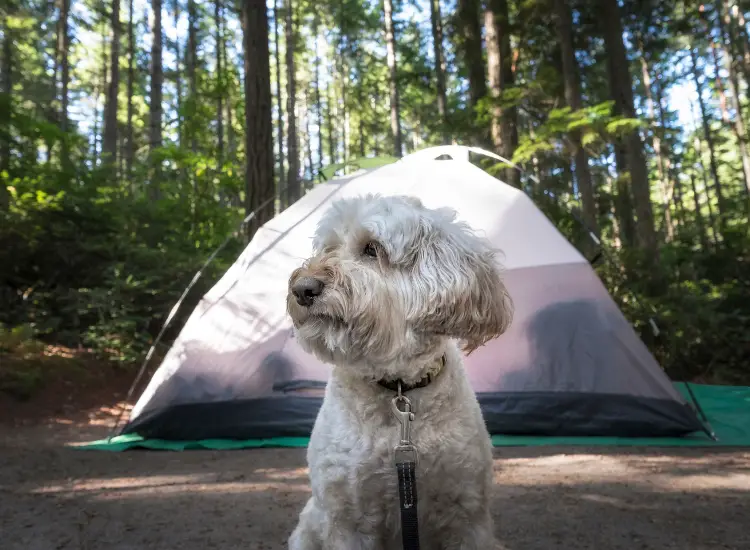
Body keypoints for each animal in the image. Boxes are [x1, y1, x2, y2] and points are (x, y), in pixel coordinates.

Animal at [284, 195, 516, 550]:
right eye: (328, 247)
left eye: (372, 248)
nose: (302, 288)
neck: (398, 388)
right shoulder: (348, 520)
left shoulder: (466, 515)